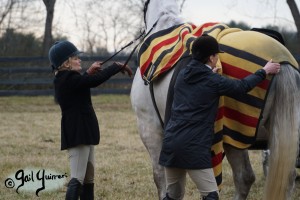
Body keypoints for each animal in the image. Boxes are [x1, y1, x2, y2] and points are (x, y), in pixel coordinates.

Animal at [131, 0, 300, 199]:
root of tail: (283, 62)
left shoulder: (150, 129)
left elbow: (161, 179)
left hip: (234, 136)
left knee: (244, 177)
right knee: (286, 178)